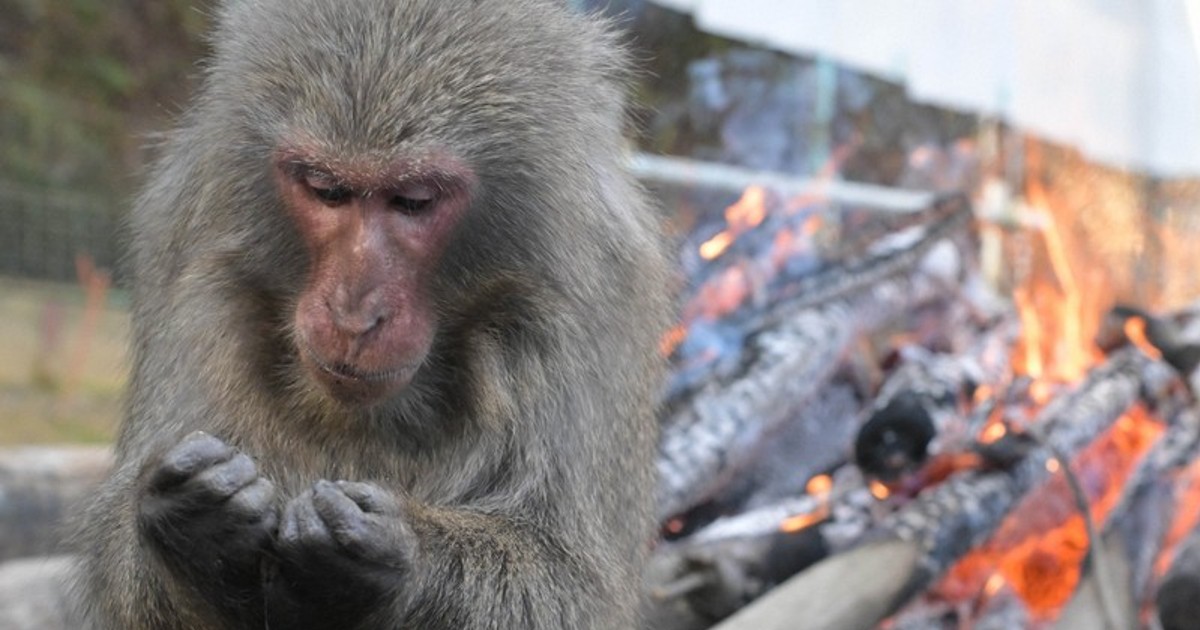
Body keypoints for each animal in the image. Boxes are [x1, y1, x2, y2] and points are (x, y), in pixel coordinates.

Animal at [71, 0, 671, 628]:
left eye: (413, 200)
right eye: (326, 189)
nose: (353, 316)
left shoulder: (581, 299)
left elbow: (567, 583)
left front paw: (390, 553)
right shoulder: (194, 256)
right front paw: (195, 525)